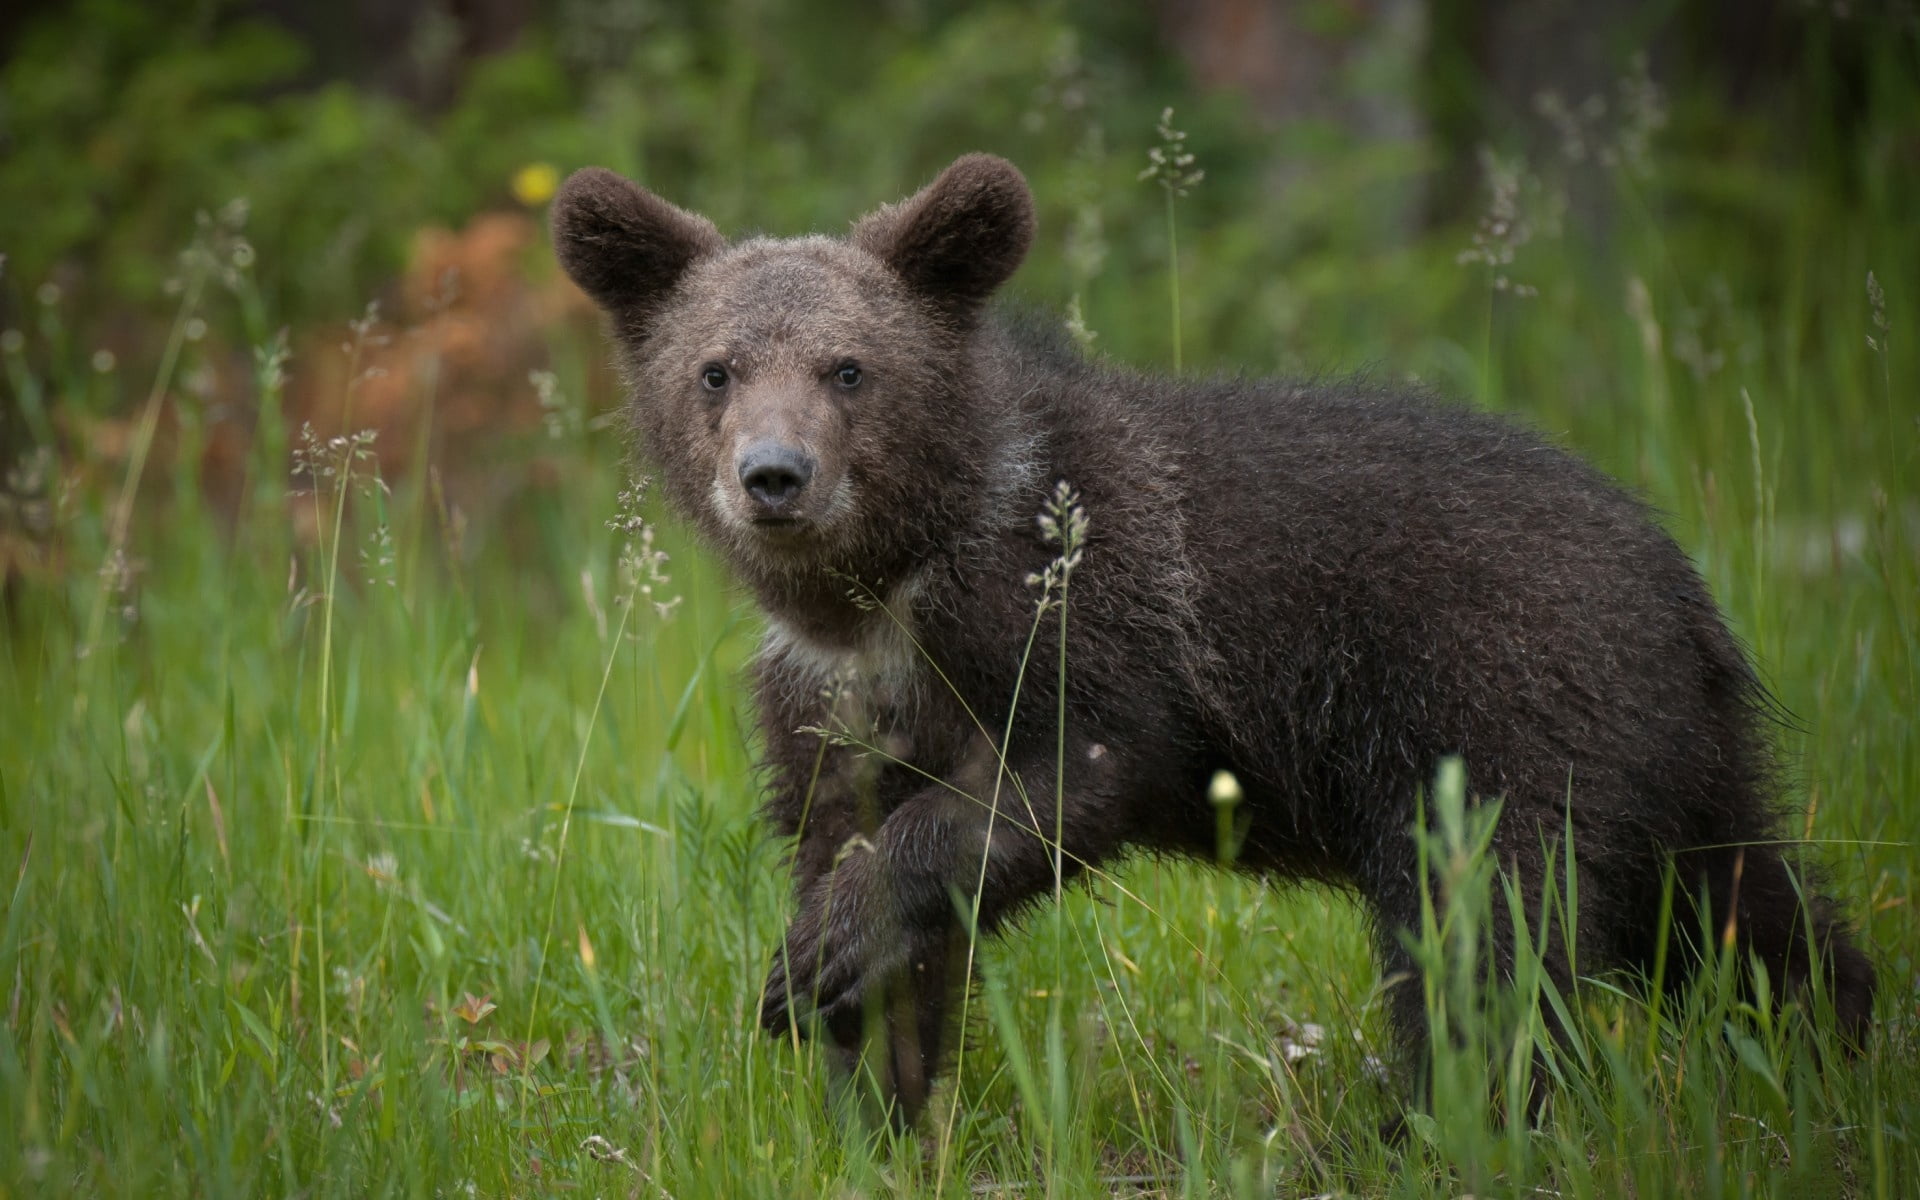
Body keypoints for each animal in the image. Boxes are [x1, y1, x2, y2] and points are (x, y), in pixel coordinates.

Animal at [549, 153, 1875, 1125]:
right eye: (715, 369)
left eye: (849, 368)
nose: (775, 477)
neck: (885, 591)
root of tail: (1682, 585)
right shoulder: (834, 707)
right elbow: (861, 869)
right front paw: (871, 1094)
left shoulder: (1089, 618)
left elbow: (1060, 776)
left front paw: (820, 957)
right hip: (1672, 758)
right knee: (1741, 910)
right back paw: (1838, 1042)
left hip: (1500, 708)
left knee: (1482, 929)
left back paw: (1449, 1121)